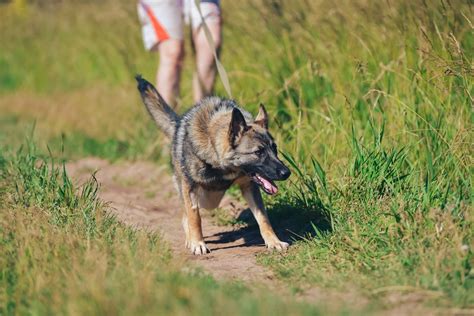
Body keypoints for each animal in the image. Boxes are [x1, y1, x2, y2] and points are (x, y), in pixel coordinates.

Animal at [135, 76, 290, 254]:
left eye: (274, 148)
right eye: (258, 152)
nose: (287, 172)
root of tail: (177, 123)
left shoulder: (250, 187)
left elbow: (263, 218)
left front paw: (273, 241)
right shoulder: (190, 189)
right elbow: (194, 217)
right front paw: (197, 243)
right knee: (186, 215)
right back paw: (190, 239)